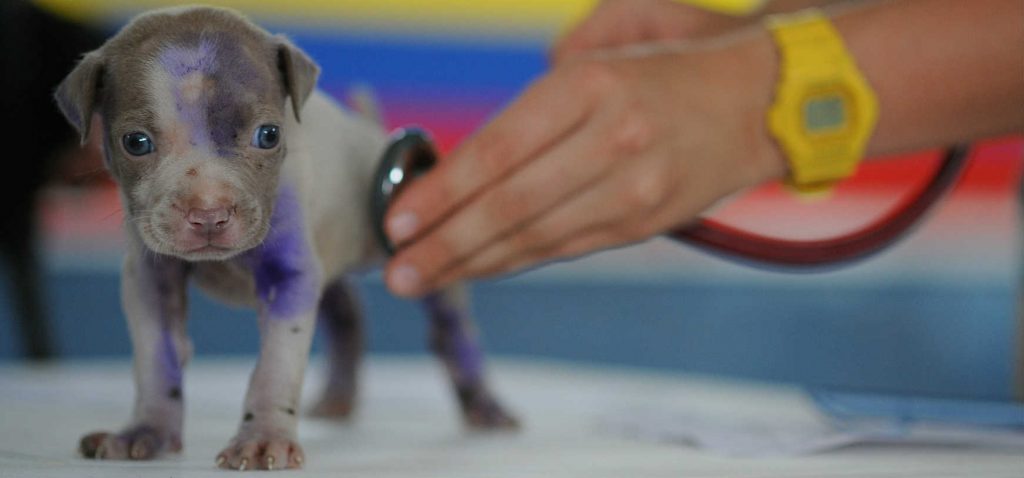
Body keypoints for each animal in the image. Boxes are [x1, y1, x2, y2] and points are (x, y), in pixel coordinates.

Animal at [52, 5, 516, 472]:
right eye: (136, 142)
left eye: (269, 135)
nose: (209, 213)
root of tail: (368, 131)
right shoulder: (149, 279)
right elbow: (156, 358)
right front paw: (147, 431)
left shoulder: (289, 277)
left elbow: (274, 367)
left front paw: (262, 438)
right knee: (347, 311)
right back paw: (338, 398)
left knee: (450, 328)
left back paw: (485, 405)